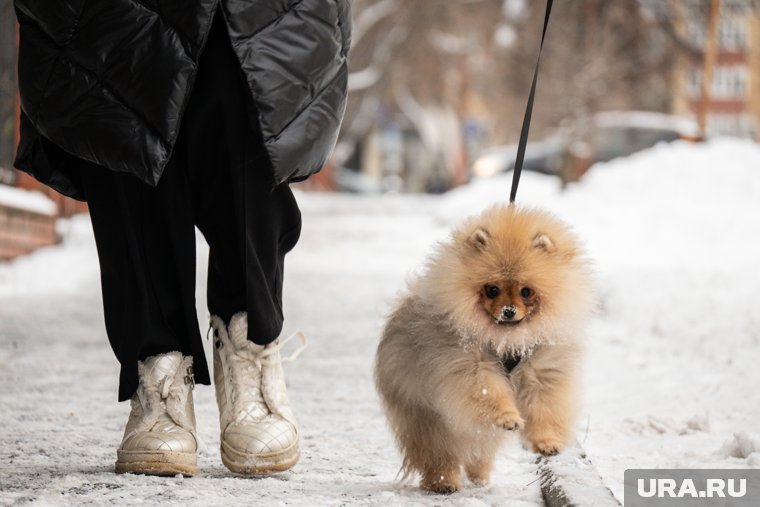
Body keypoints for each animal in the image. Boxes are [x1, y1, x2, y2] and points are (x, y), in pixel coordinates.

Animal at [372, 204, 592, 494]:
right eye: (492, 289)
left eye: (526, 291)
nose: (508, 311)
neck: (507, 339)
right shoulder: (470, 366)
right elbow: (488, 392)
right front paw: (508, 417)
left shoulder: (542, 371)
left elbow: (544, 407)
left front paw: (547, 441)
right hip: (427, 418)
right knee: (438, 451)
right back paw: (444, 482)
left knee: (481, 446)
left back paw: (480, 474)